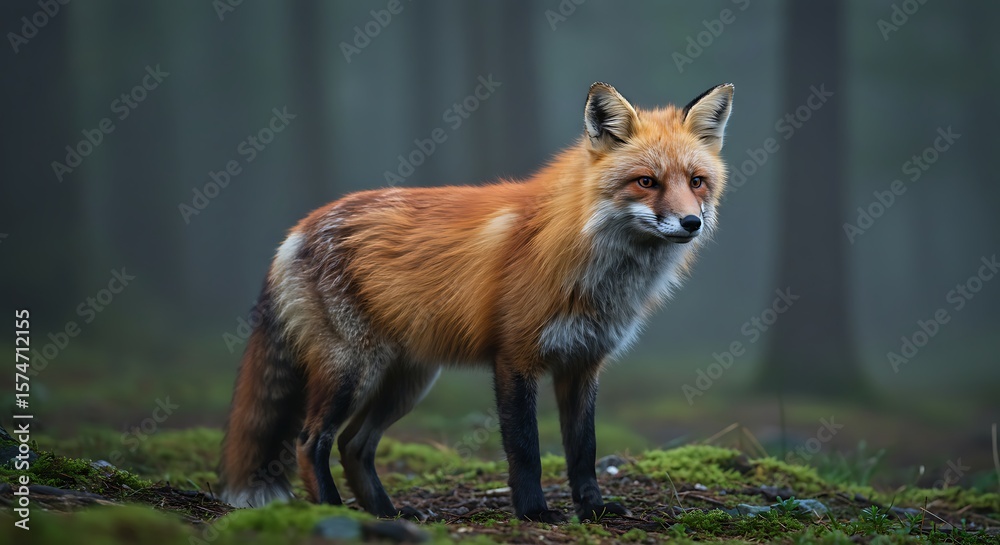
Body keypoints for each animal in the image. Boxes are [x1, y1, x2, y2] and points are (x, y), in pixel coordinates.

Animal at [218, 81, 734, 522]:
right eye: (646, 182)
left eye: (696, 181)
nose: (691, 223)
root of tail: (298, 227)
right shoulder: (515, 357)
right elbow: (526, 449)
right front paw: (534, 512)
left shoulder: (583, 363)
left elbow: (583, 450)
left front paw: (593, 509)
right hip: (352, 370)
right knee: (310, 442)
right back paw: (331, 510)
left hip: (407, 381)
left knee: (353, 445)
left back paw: (386, 513)